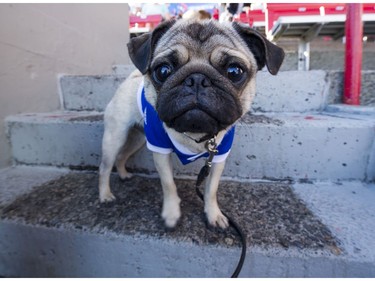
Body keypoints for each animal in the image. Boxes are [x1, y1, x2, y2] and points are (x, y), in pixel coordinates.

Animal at [98, 20, 284, 230]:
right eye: (163, 70)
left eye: (234, 71)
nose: (197, 79)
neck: (195, 132)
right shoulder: (160, 151)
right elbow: (169, 184)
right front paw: (171, 214)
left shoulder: (218, 157)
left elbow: (211, 189)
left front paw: (213, 214)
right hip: (116, 137)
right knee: (105, 166)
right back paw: (105, 195)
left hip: (137, 139)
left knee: (122, 156)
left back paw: (123, 174)